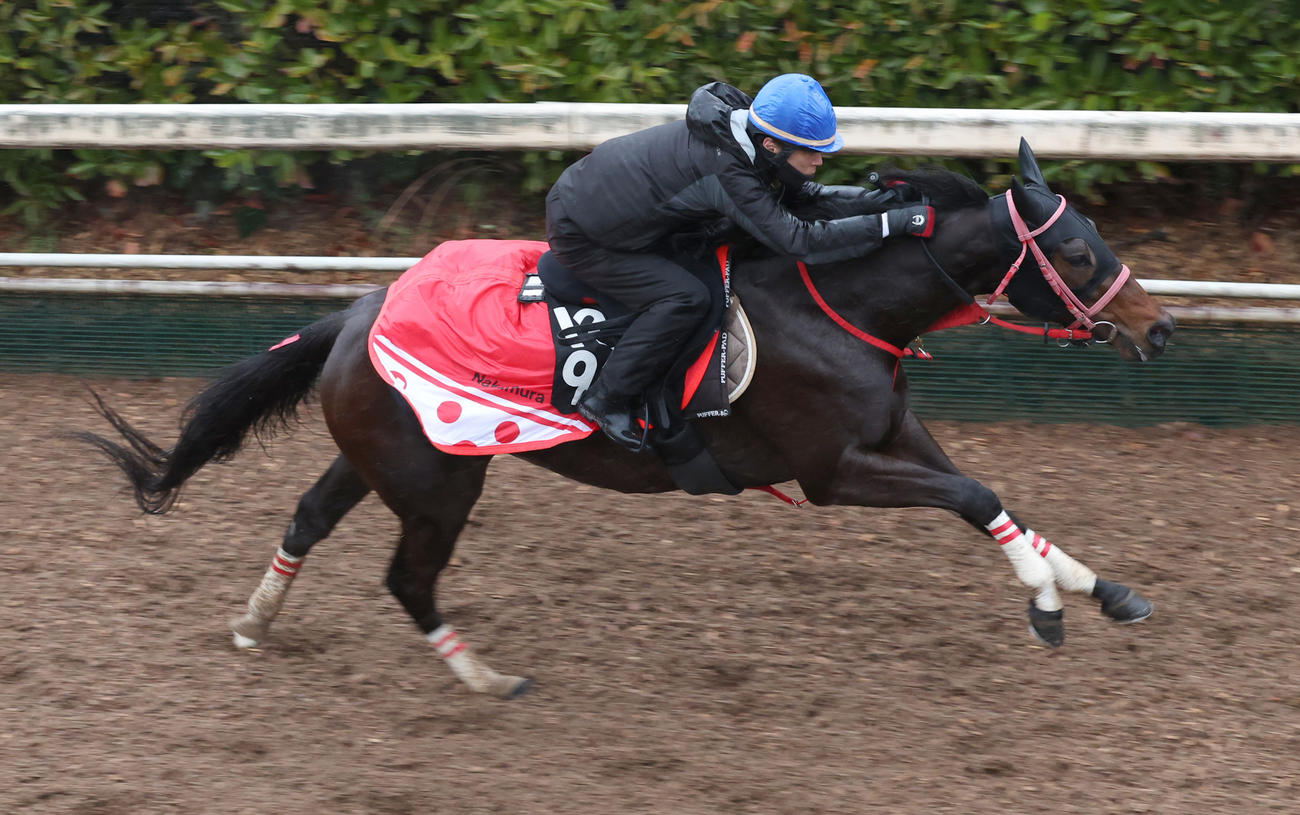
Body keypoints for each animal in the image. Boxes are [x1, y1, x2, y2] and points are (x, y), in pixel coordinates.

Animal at [79, 140, 1175, 698]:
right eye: (1077, 252)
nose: (1159, 328)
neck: (835, 299)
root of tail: (354, 313)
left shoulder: (889, 435)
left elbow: (989, 494)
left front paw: (1099, 586)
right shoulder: (833, 470)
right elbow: (976, 492)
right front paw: (1046, 604)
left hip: (384, 455)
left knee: (306, 518)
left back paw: (255, 622)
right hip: (440, 479)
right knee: (407, 577)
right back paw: (485, 675)